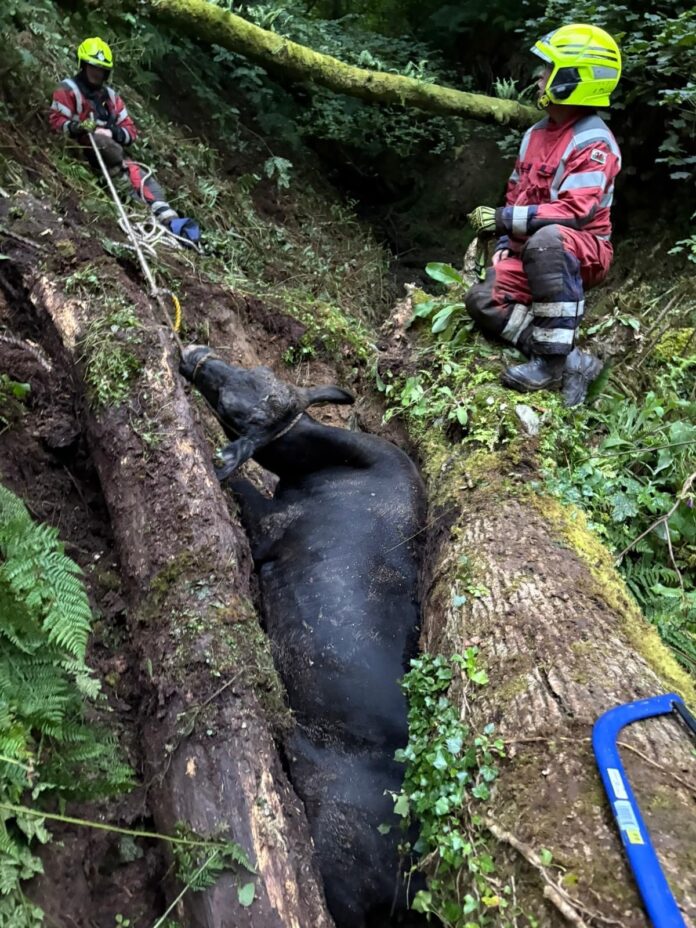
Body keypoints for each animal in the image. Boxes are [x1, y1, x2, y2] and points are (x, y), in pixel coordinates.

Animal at [180, 346, 426, 927]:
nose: (196, 354)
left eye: (235, 408)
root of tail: (411, 888)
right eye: (247, 371)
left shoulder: (270, 527)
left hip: (338, 869)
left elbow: (240, 486)